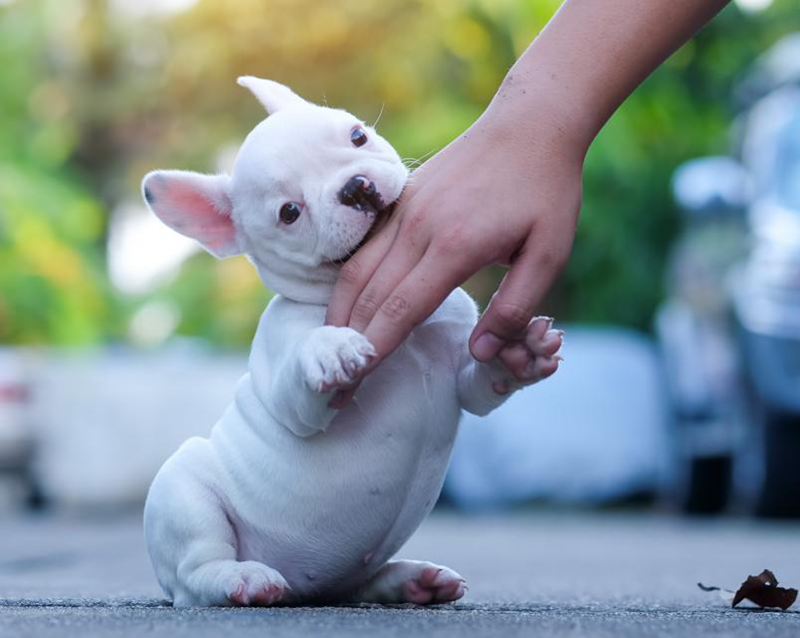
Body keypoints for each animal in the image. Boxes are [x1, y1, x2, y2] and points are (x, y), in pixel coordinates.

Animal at [141, 79, 564, 608]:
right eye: (289, 213)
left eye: (358, 135)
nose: (354, 187)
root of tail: (307, 590)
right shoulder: (293, 399)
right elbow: (302, 380)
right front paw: (331, 348)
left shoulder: (458, 373)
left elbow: (479, 382)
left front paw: (516, 355)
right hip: (184, 490)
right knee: (195, 572)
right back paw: (241, 579)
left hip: (347, 569)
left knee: (357, 582)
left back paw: (412, 580)